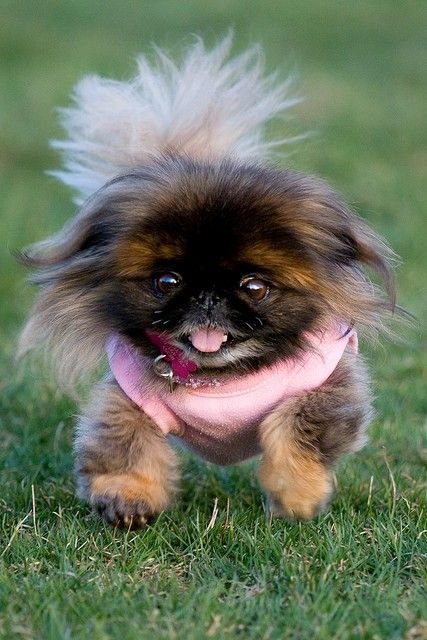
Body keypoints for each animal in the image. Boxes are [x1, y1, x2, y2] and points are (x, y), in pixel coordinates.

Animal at [18, 37, 396, 528]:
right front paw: (126, 500)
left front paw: (295, 497)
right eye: (167, 280)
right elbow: (124, 445)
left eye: (254, 287)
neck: (222, 379)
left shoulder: (325, 387)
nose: (209, 296)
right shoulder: (129, 396)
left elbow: (297, 432)